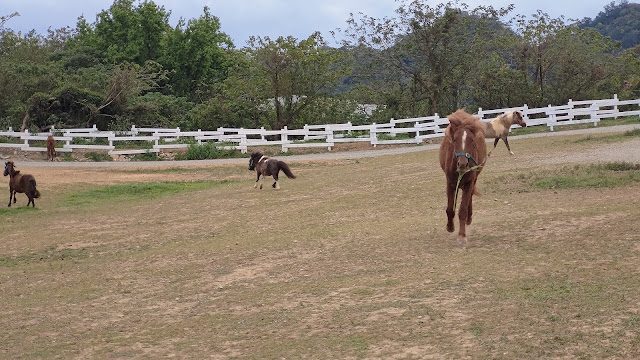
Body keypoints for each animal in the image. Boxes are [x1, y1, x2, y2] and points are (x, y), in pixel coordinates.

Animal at [438, 109, 488, 245]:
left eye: (472, 141)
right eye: (455, 140)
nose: (463, 164)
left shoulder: (469, 183)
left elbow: (463, 210)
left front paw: (461, 236)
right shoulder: (450, 184)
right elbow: (450, 209)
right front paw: (450, 227)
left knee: (469, 198)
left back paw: (469, 218)